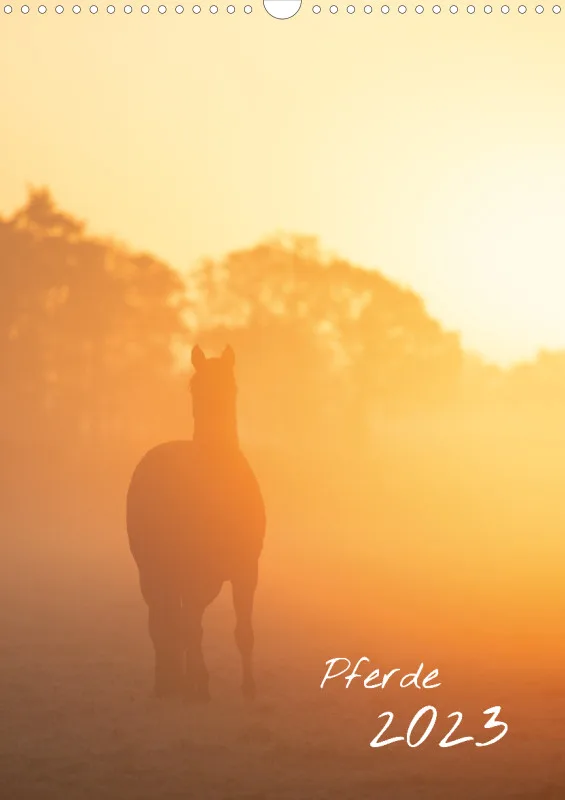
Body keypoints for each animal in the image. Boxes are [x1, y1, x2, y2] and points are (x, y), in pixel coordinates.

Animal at [126, 345, 266, 702]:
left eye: (231, 386)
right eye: (194, 386)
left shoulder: (246, 571)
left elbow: (243, 631)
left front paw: (249, 688)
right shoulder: (190, 571)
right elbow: (188, 627)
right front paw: (199, 682)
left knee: (182, 620)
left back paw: (182, 678)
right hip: (153, 570)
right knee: (163, 622)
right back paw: (169, 681)